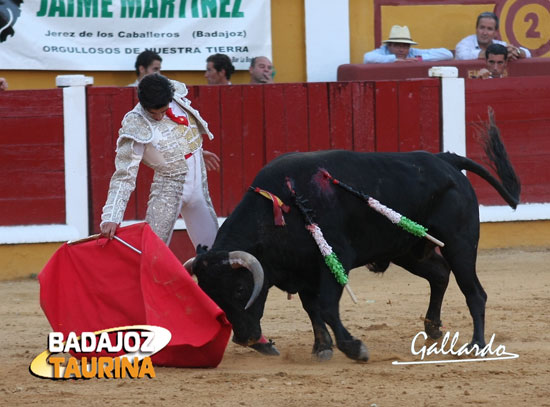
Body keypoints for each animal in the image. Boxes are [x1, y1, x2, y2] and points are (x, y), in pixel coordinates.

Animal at [187, 126, 520, 362]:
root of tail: (444, 159)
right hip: (408, 251)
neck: (282, 207)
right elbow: (312, 308)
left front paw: (354, 347)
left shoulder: (335, 258)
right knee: (439, 275)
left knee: (474, 292)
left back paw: (476, 345)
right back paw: (433, 328)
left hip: (459, 243)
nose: (243, 338)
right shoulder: (304, 269)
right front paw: (322, 347)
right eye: (209, 294)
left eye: (240, 289)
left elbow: (325, 305)